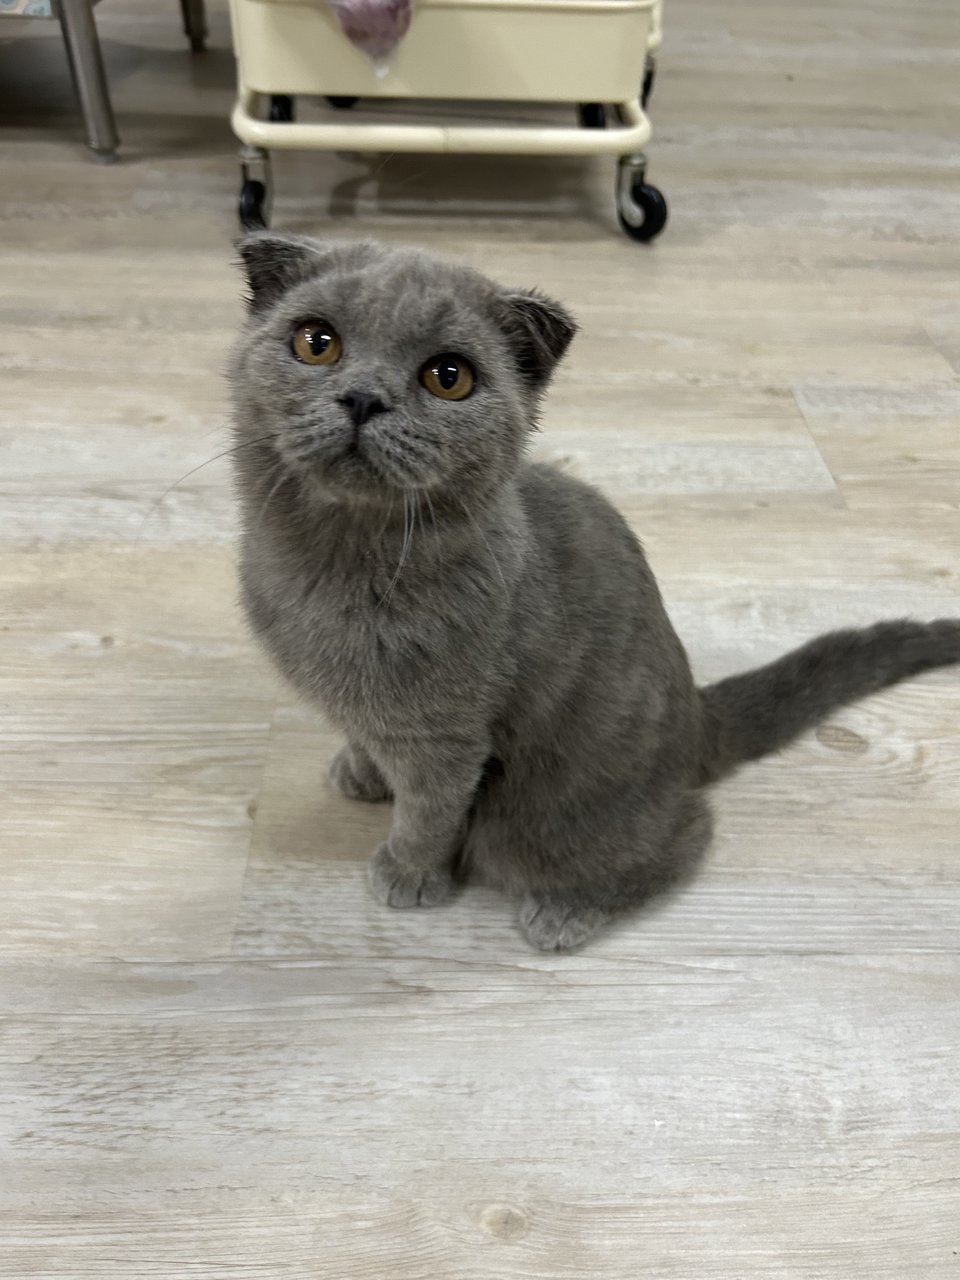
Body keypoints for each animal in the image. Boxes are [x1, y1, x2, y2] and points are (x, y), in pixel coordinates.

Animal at [231, 232, 960, 952]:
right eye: (316, 342)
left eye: (448, 377)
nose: (363, 397)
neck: (335, 563)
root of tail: (698, 716)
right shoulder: (366, 706)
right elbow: (361, 732)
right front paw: (360, 772)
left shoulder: (446, 740)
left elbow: (427, 815)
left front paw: (408, 873)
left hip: (546, 816)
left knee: (685, 838)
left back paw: (564, 913)